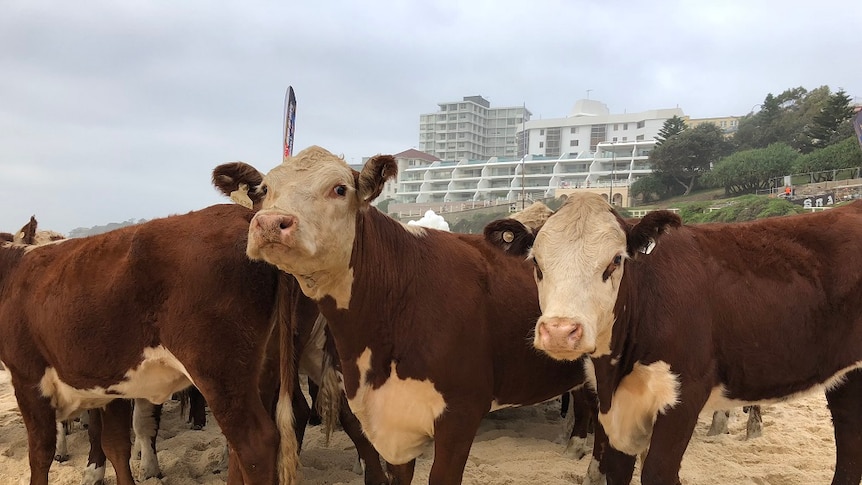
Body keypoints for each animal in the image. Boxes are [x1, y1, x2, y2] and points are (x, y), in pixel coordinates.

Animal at [0, 204, 300, 484]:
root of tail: (243, 214)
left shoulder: (27, 377)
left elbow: (41, 452)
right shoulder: (109, 382)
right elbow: (115, 444)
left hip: (220, 373)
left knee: (254, 445)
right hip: (261, 368)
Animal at [214, 146, 592, 482]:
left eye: (339, 188)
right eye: (265, 190)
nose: (269, 223)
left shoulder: (462, 414)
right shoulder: (390, 420)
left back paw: (578, 444)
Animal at [486, 192, 862, 484]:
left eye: (615, 261)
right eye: (537, 264)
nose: (560, 332)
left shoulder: (685, 395)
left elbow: (657, 472)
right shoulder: (617, 408)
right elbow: (617, 471)